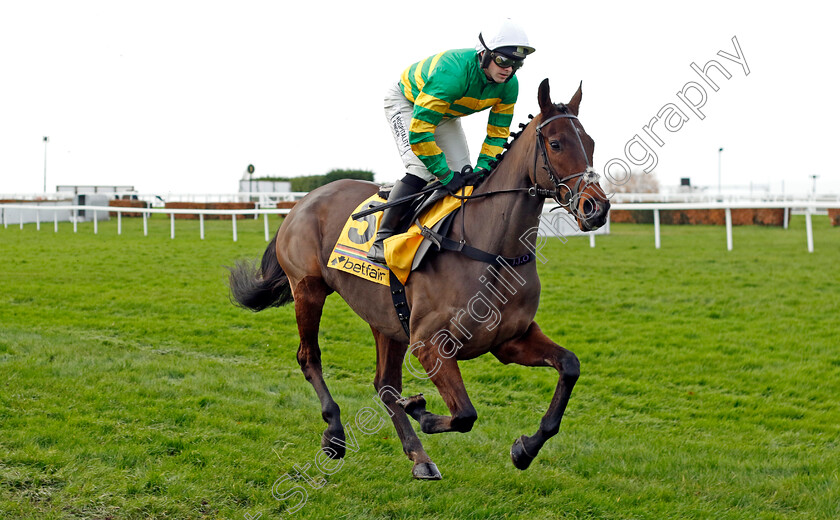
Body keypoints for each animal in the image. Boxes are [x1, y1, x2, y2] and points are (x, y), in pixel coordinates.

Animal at [228, 79, 612, 482]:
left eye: (591, 143)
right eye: (555, 143)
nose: (596, 208)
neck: (491, 250)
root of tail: (302, 202)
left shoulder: (510, 340)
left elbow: (569, 366)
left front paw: (525, 448)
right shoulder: (429, 344)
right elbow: (465, 414)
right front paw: (419, 408)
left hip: (386, 317)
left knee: (384, 384)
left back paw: (419, 457)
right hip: (309, 289)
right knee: (309, 357)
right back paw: (334, 433)